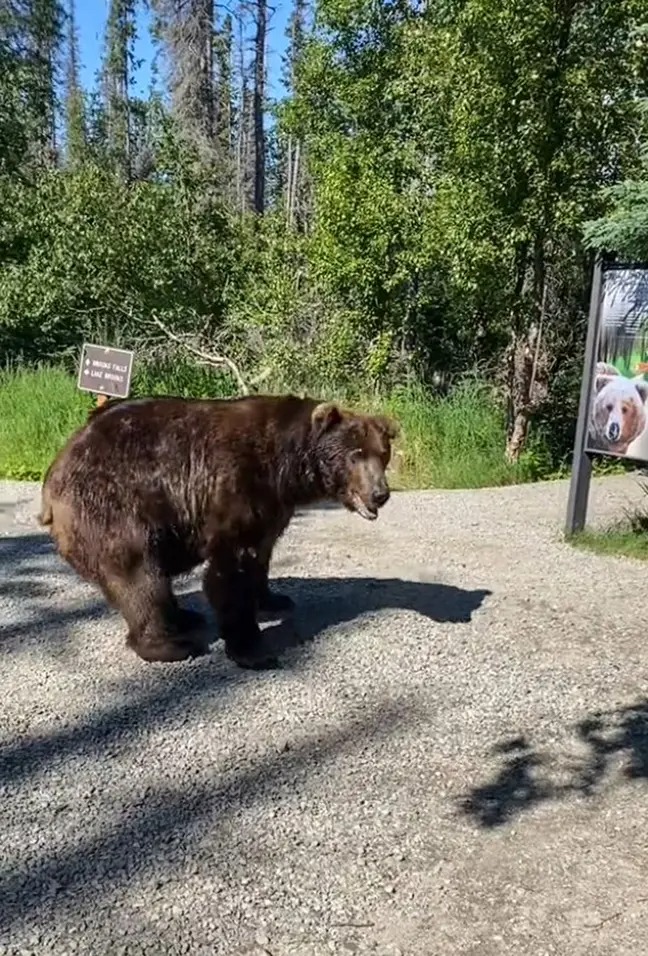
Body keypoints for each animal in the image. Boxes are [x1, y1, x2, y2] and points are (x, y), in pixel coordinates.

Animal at [38, 393, 399, 669]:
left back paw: (184, 617)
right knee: (138, 574)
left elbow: (261, 555)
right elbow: (230, 571)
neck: (286, 469)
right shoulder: (234, 487)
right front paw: (252, 649)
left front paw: (273, 598)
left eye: (383, 453)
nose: (380, 494)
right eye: (355, 454)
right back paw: (170, 644)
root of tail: (54, 472)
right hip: (113, 505)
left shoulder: (272, 508)